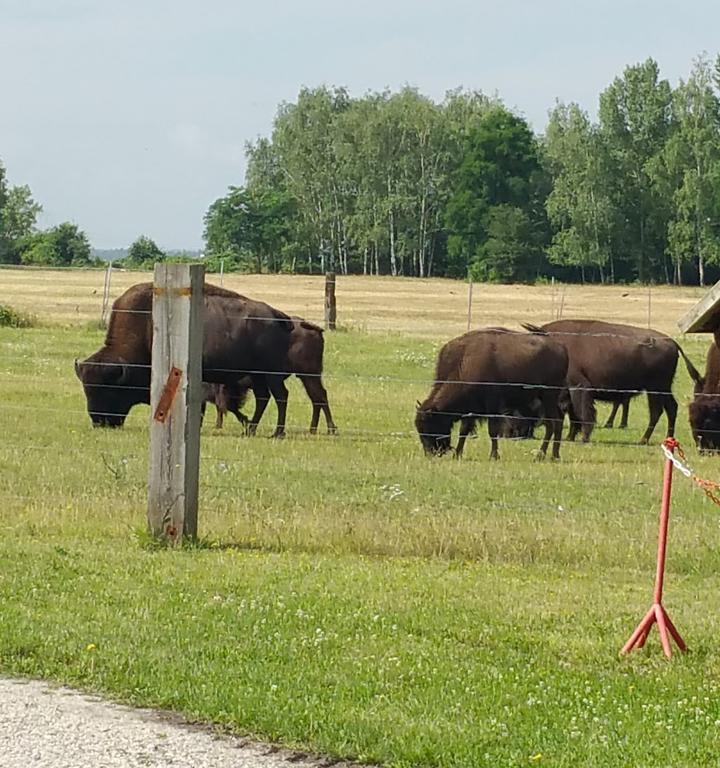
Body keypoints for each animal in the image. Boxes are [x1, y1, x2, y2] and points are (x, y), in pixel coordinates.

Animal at [74, 280, 294, 436]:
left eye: (109, 390)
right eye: (86, 390)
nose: (99, 421)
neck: (145, 328)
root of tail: (277, 315)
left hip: (271, 373)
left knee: (281, 396)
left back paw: (277, 433)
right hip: (258, 376)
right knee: (263, 398)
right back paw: (251, 429)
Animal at [416, 328, 568, 460]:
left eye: (429, 424)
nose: (431, 452)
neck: (466, 363)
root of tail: (561, 348)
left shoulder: (492, 406)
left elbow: (492, 431)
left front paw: (494, 455)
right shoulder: (471, 409)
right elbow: (463, 431)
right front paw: (457, 454)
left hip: (548, 395)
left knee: (553, 423)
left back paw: (542, 456)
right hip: (546, 398)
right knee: (555, 423)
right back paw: (553, 455)